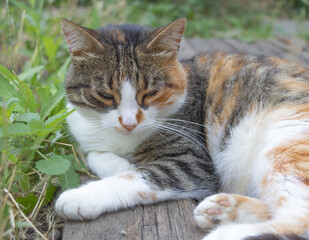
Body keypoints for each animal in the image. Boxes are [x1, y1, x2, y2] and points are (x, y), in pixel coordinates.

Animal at [55, 17, 308, 239]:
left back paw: (224, 233)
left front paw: (81, 197)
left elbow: (138, 178)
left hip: (285, 146)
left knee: (298, 219)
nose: (129, 123)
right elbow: (94, 154)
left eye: (151, 93)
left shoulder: (192, 160)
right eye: (105, 95)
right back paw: (222, 210)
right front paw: (121, 164)